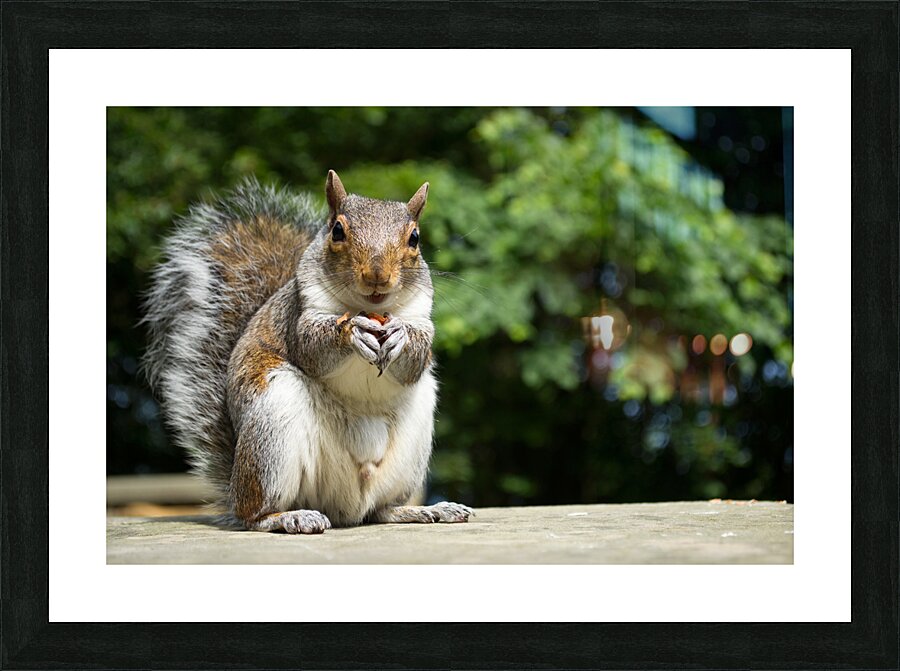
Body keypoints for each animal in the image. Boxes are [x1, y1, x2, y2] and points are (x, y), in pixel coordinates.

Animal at [142, 170, 472, 533]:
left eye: (414, 238)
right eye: (337, 230)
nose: (377, 275)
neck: (369, 308)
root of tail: (345, 505)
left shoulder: (421, 317)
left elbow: (416, 359)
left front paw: (401, 336)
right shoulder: (299, 316)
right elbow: (312, 346)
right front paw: (352, 331)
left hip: (411, 448)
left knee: (380, 510)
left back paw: (425, 510)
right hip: (273, 429)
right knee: (253, 514)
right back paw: (286, 516)